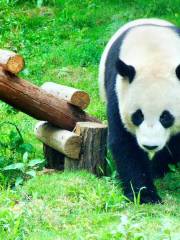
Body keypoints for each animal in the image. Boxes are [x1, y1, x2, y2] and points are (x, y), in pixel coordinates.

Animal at [98, 18, 180, 203]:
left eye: (166, 117)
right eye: (138, 116)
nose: (150, 145)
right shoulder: (118, 91)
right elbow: (125, 142)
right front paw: (145, 195)